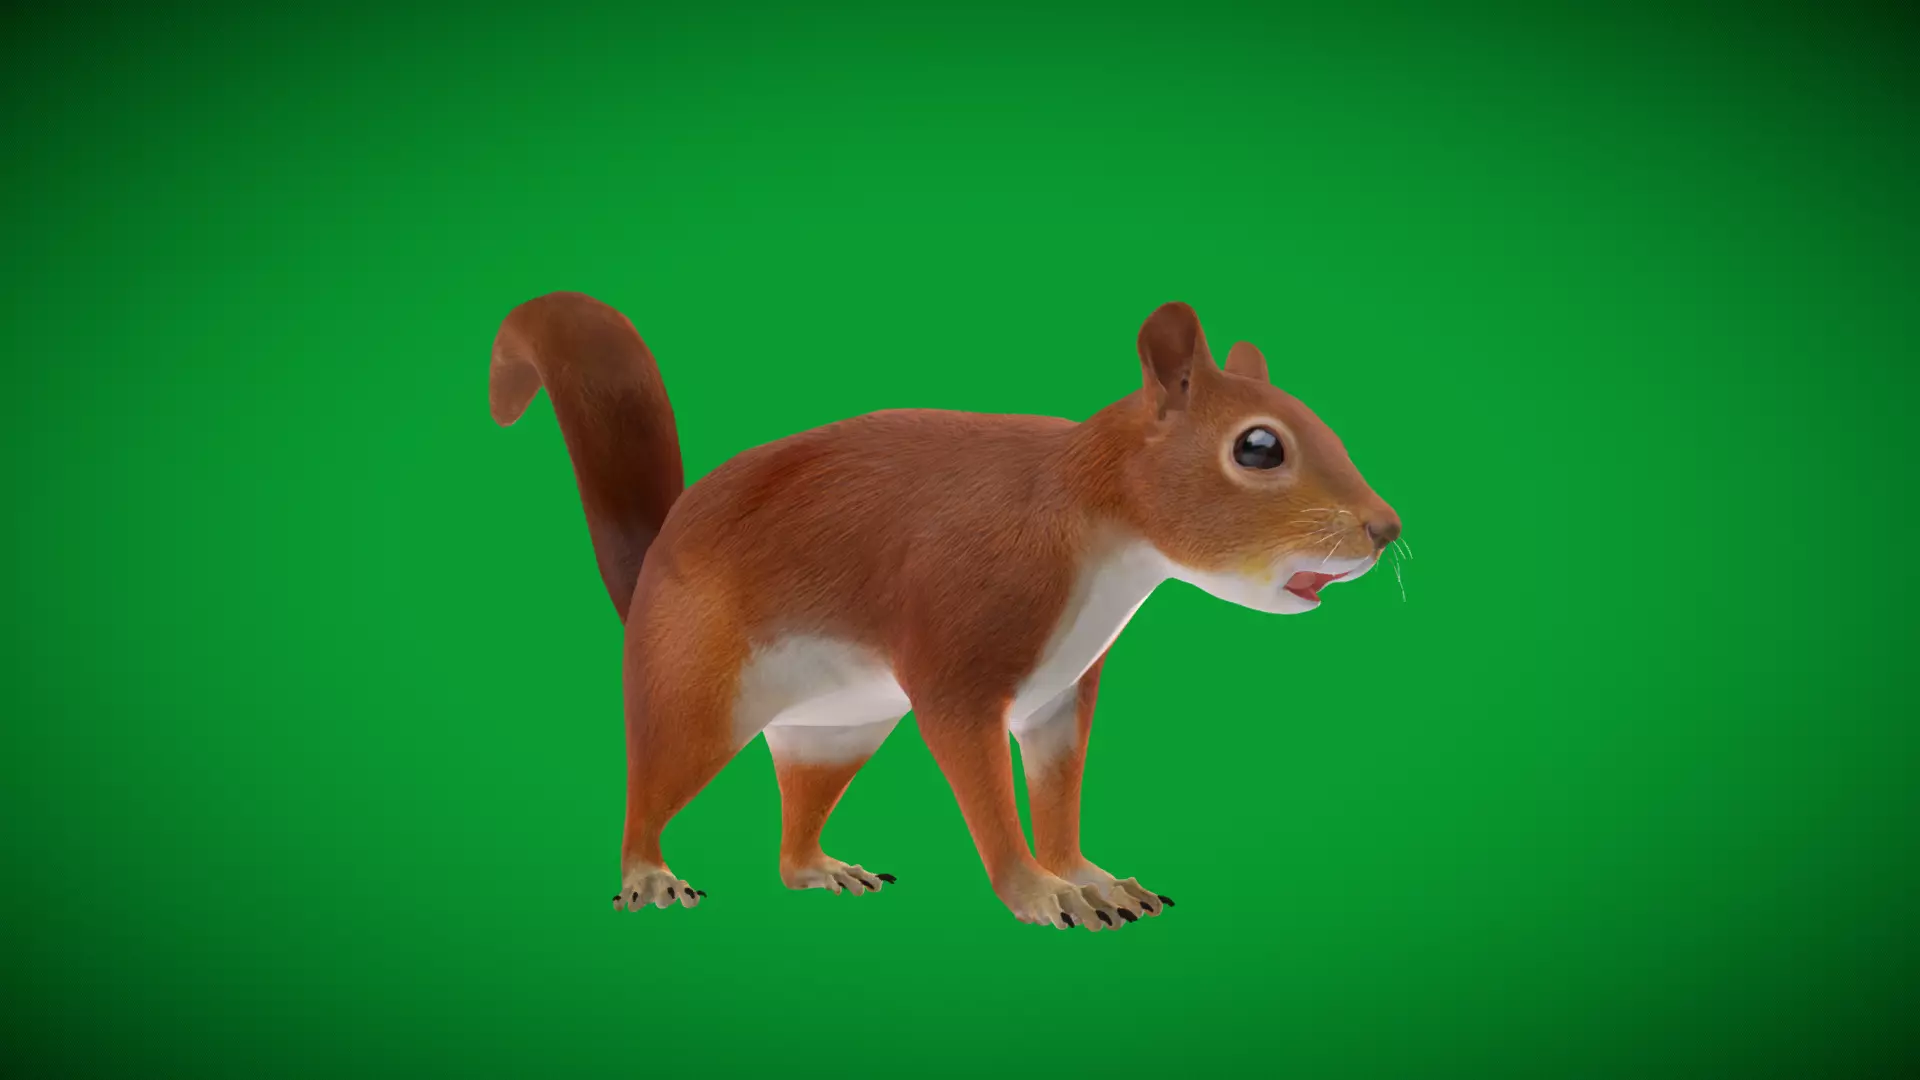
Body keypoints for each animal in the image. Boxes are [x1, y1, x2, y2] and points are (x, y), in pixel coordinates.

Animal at [490, 293, 1401, 931]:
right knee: (651, 787)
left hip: (836, 731)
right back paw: (647, 873)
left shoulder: (1059, 696)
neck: (1098, 520)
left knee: (792, 837)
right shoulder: (961, 657)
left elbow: (1058, 793)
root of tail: (654, 565)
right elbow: (986, 788)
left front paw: (1087, 875)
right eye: (1259, 447)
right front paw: (1039, 891)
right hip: (696, 694)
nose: (1387, 528)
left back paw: (821, 867)